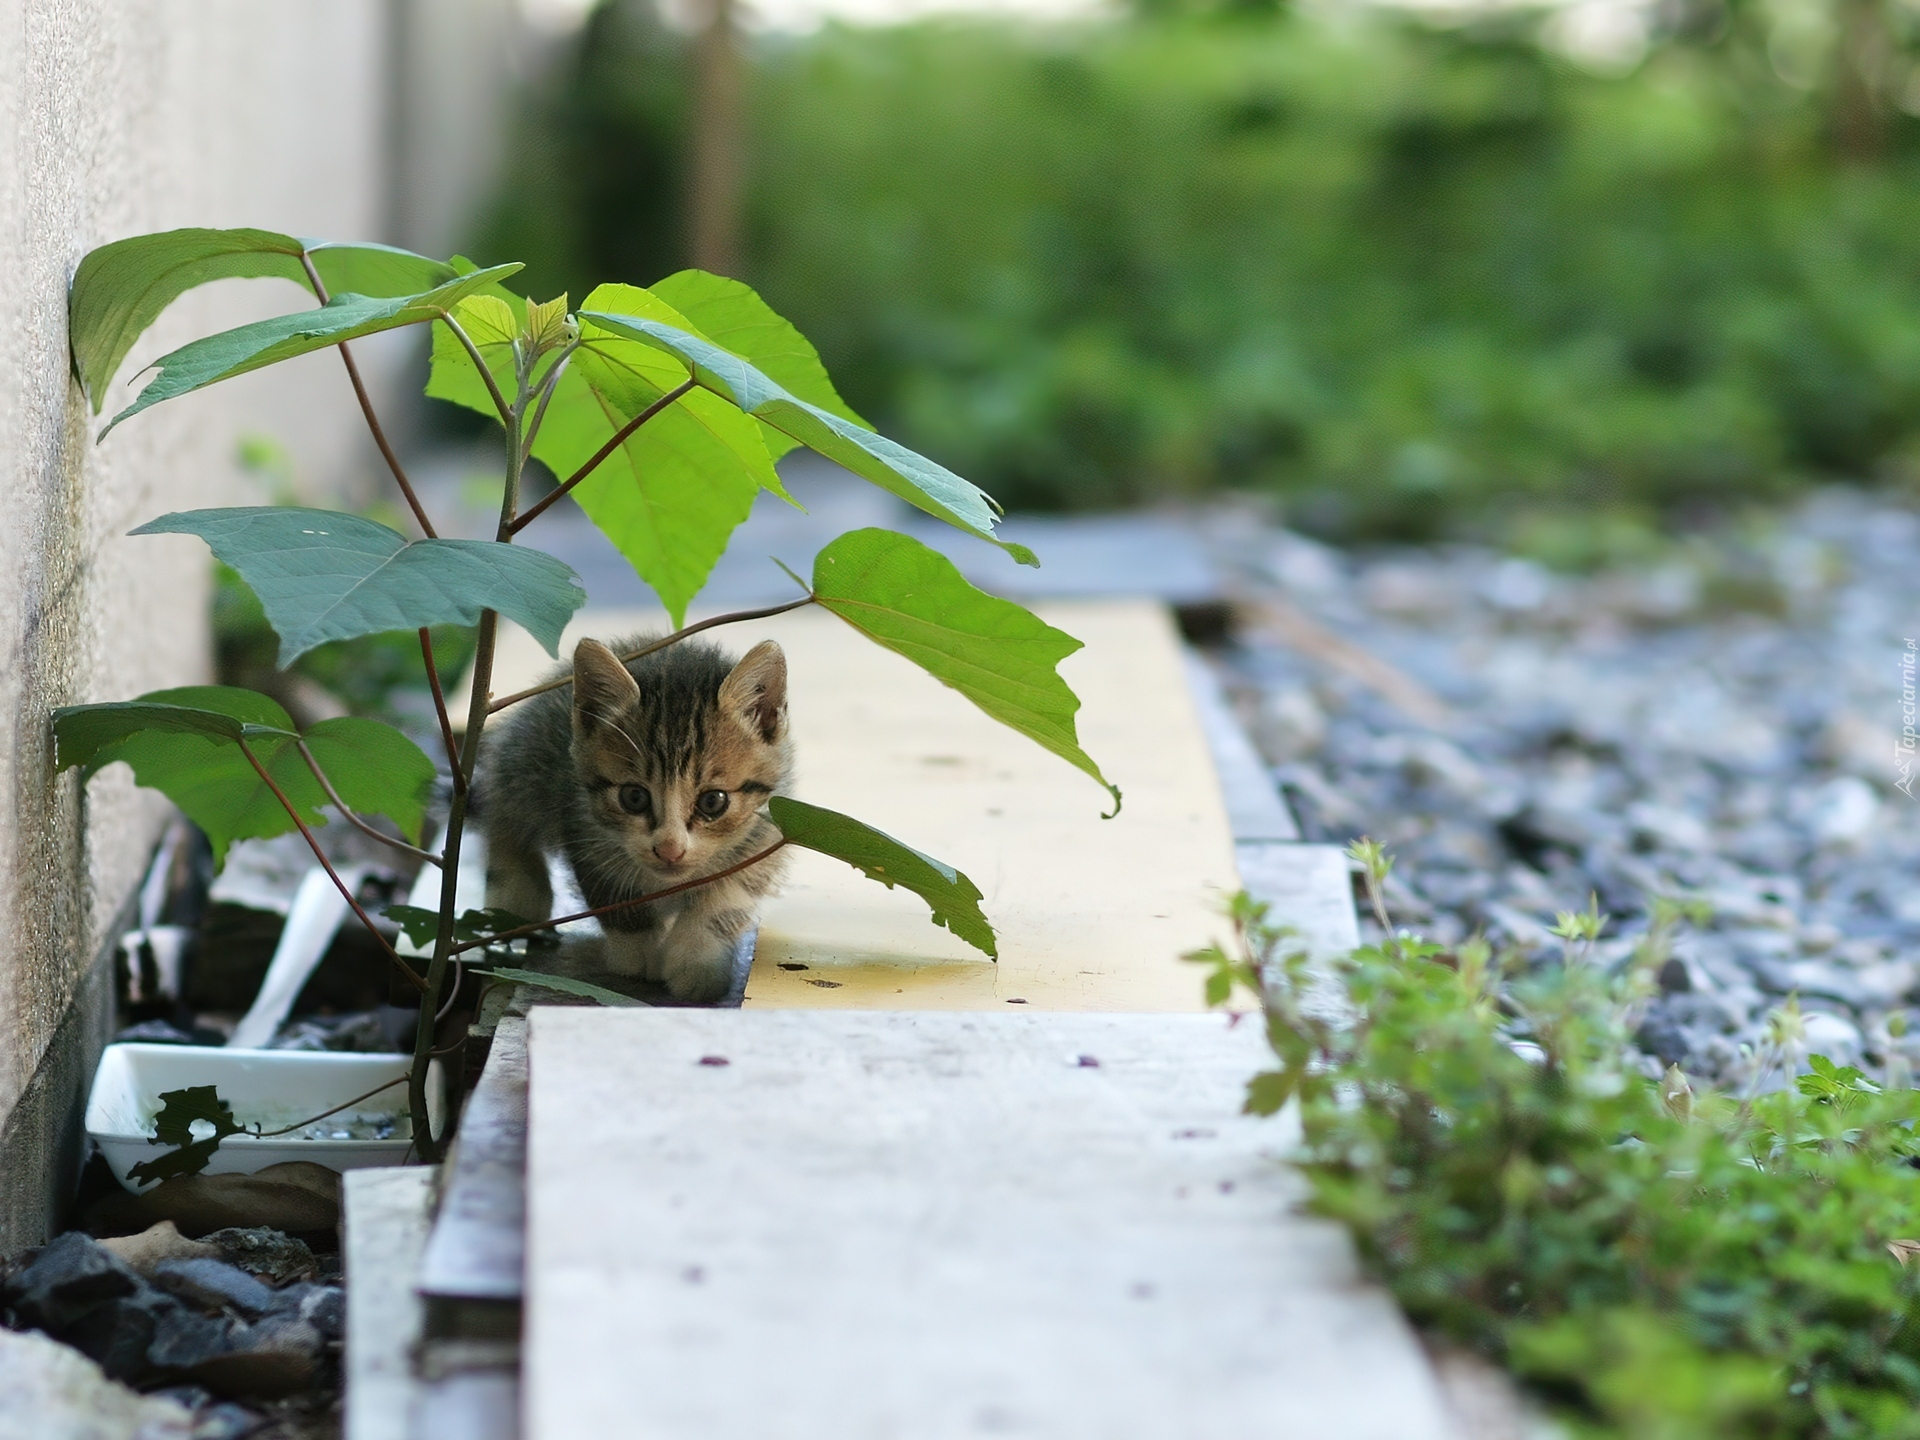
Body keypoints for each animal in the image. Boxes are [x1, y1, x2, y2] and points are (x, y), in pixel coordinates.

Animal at [478, 633, 794, 1006]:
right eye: (634, 797)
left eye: (713, 801)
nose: (670, 849)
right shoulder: (583, 827)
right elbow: (612, 891)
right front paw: (639, 950)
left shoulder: (765, 835)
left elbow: (727, 898)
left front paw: (698, 960)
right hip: (527, 755)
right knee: (501, 806)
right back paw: (516, 893)